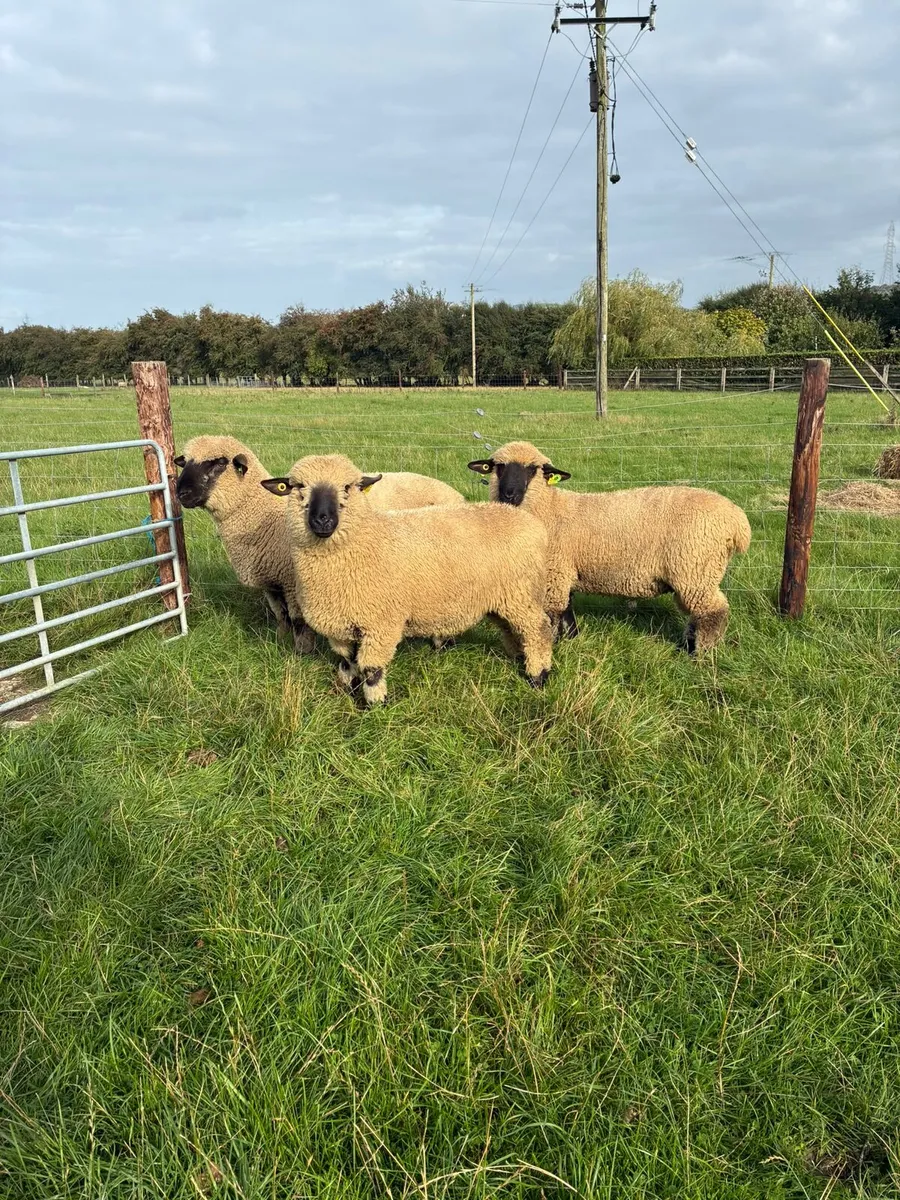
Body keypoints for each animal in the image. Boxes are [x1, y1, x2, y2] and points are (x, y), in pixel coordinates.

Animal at [261, 454, 554, 706]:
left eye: (348, 487)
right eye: (298, 486)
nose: (323, 520)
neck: (364, 543)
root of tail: (529, 521)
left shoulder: (381, 624)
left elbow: (371, 669)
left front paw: (376, 706)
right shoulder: (341, 625)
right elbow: (346, 662)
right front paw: (344, 689)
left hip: (522, 594)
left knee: (538, 630)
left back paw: (538, 676)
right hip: (504, 598)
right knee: (514, 630)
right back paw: (520, 658)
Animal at [468, 440, 751, 653]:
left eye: (533, 469)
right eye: (499, 467)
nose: (508, 494)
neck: (550, 509)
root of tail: (737, 520)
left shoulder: (554, 572)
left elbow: (554, 614)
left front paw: (555, 646)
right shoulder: (565, 571)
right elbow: (568, 611)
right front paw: (572, 640)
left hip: (696, 570)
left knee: (713, 612)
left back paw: (700, 654)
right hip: (695, 575)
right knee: (697, 613)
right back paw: (687, 647)